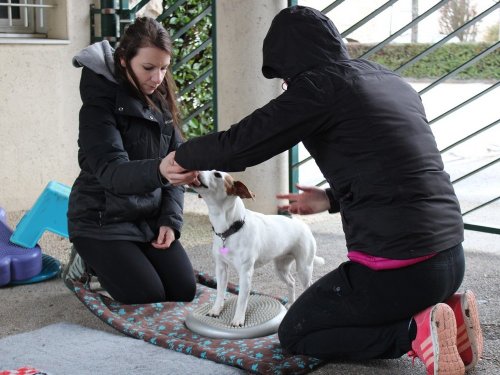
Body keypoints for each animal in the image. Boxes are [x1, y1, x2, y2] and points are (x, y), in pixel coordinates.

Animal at [191, 172, 324, 328]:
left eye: (217, 174)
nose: (195, 172)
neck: (231, 229)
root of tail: (305, 227)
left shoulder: (245, 273)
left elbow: (242, 299)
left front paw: (238, 319)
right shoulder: (221, 268)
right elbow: (220, 292)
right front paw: (216, 310)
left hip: (304, 269)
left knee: (307, 285)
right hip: (281, 268)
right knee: (291, 282)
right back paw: (291, 302)